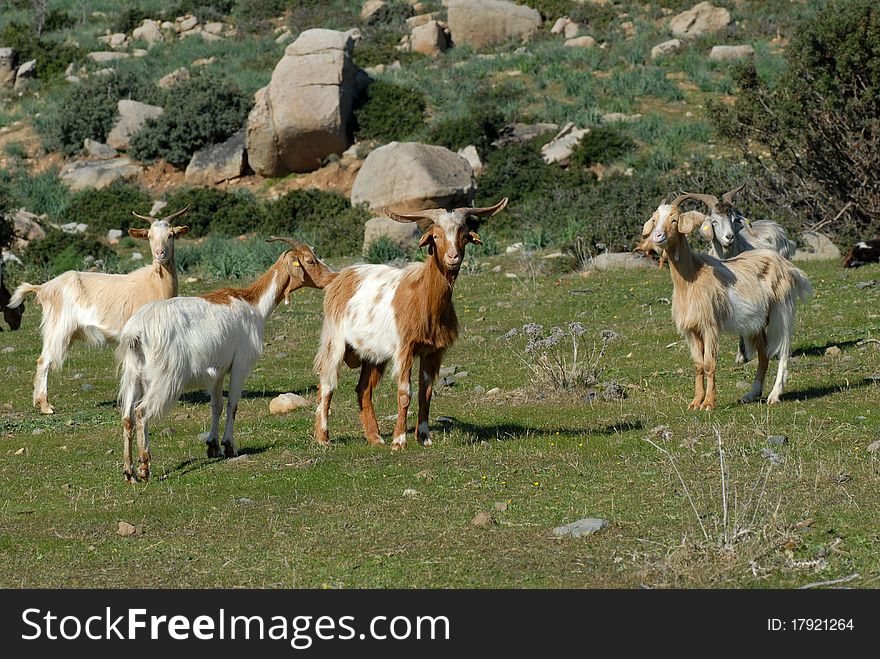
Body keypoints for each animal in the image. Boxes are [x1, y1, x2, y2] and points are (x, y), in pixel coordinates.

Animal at [8, 206, 190, 412]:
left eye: (171, 235)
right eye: (149, 236)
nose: (160, 253)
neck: (154, 283)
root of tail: (45, 287)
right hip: (58, 327)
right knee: (44, 360)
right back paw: (45, 405)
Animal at [115, 240, 336, 482]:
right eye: (310, 261)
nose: (332, 277)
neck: (254, 305)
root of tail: (136, 331)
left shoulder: (218, 370)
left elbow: (217, 405)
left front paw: (213, 446)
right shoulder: (240, 364)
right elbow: (233, 405)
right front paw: (229, 446)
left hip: (133, 375)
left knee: (127, 417)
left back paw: (129, 472)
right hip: (165, 377)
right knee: (141, 412)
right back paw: (144, 467)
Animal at [314, 199, 508, 452]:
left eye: (464, 235)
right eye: (436, 236)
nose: (453, 257)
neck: (425, 298)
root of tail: (339, 277)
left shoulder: (432, 351)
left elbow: (426, 393)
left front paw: (424, 437)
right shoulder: (405, 348)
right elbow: (405, 393)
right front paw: (399, 441)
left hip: (373, 354)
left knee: (363, 389)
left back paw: (375, 437)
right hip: (335, 340)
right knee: (327, 384)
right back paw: (323, 438)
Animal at [648, 195, 812, 412]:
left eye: (674, 220)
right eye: (654, 219)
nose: (657, 236)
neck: (692, 277)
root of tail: (789, 267)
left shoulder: (710, 326)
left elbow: (709, 364)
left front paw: (709, 403)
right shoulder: (691, 330)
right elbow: (698, 365)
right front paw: (695, 402)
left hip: (782, 310)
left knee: (784, 350)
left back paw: (774, 395)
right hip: (757, 322)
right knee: (763, 354)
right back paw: (751, 394)